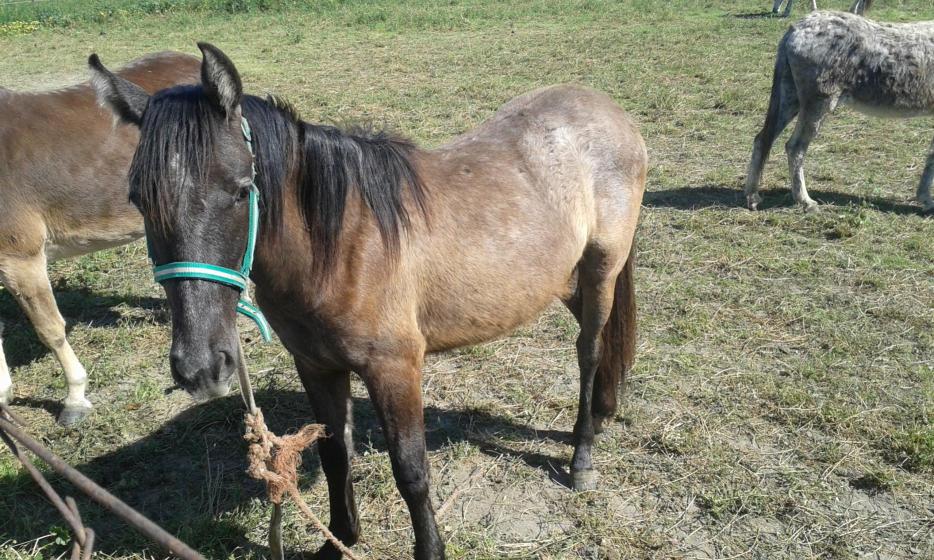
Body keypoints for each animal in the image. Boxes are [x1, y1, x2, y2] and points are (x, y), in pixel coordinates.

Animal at [89, 43, 645, 559]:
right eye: (139, 199)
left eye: (240, 189)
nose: (201, 367)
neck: (341, 247)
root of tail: (607, 110)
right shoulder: (316, 366)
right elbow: (336, 455)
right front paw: (340, 540)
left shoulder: (394, 369)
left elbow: (411, 471)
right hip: (561, 279)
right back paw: (602, 413)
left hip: (600, 269)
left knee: (590, 349)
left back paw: (581, 459)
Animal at [745, 10, 934, 213]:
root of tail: (796, 28)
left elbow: (931, 157)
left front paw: (925, 199)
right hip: (818, 105)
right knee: (795, 148)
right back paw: (805, 201)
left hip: (791, 98)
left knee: (762, 140)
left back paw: (753, 197)